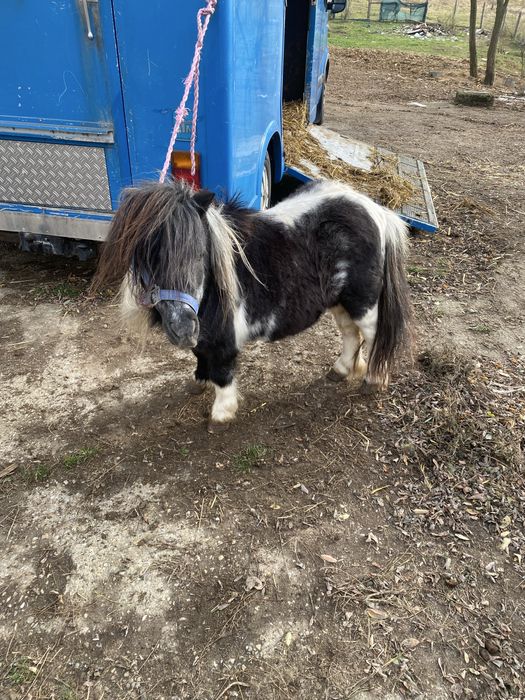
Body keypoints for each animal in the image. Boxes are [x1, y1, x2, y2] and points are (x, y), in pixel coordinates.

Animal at [92, 178, 412, 430]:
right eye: (147, 261)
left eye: (200, 253)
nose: (182, 328)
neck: (212, 283)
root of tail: (377, 211)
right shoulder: (203, 332)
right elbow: (200, 356)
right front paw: (198, 382)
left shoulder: (225, 336)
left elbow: (222, 372)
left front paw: (220, 415)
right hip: (339, 301)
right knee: (350, 335)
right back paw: (340, 370)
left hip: (363, 302)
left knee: (373, 335)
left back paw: (373, 381)